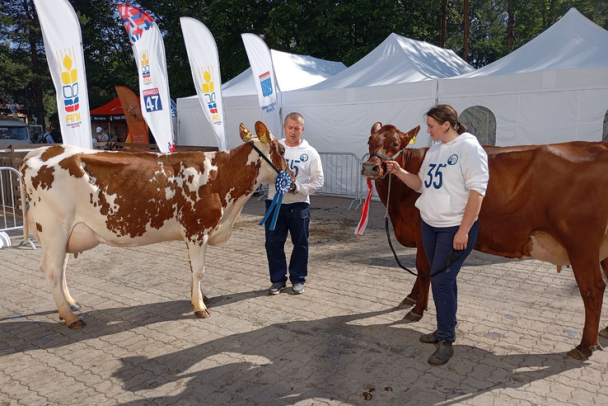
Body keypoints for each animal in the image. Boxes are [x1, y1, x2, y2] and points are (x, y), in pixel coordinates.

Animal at [20, 122, 290, 328]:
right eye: (283, 149)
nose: (293, 178)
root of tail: (40, 152)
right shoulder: (196, 230)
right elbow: (199, 269)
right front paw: (200, 306)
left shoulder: (192, 233)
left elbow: (192, 269)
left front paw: (199, 297)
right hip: (55, 229)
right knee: (52, 270)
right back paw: (70, 317)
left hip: (64, 234)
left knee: (61, 268)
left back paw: (70, 304)